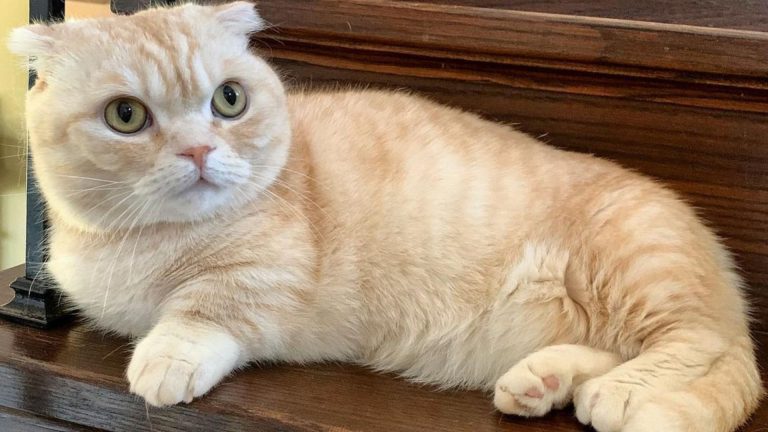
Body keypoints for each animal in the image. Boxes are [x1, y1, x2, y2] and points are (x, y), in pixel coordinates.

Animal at [9, 1, 764, 430]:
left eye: (228, 100)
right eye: (126, 116)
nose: (199, 150)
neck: (144, 246)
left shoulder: (269, 279)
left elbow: (203, 310)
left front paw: (165, 356)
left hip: (640, 269)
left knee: (709, 348)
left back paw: (619, 397)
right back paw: (542, 383)